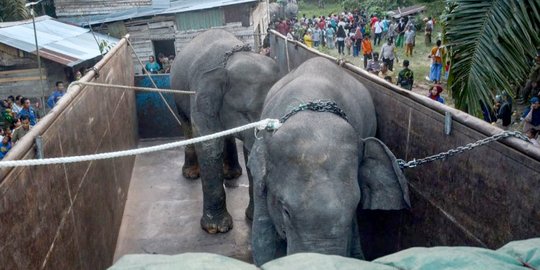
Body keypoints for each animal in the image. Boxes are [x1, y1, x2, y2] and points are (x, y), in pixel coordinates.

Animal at [171, 29, 280, 232]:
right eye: (245, 114)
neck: (231, 60)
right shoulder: (199, 97)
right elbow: (209, 144)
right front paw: (216, 228)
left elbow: (248, 149)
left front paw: (251, 218)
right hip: (177, 95)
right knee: (187, 125)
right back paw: (191, 174)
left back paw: (231, 174)